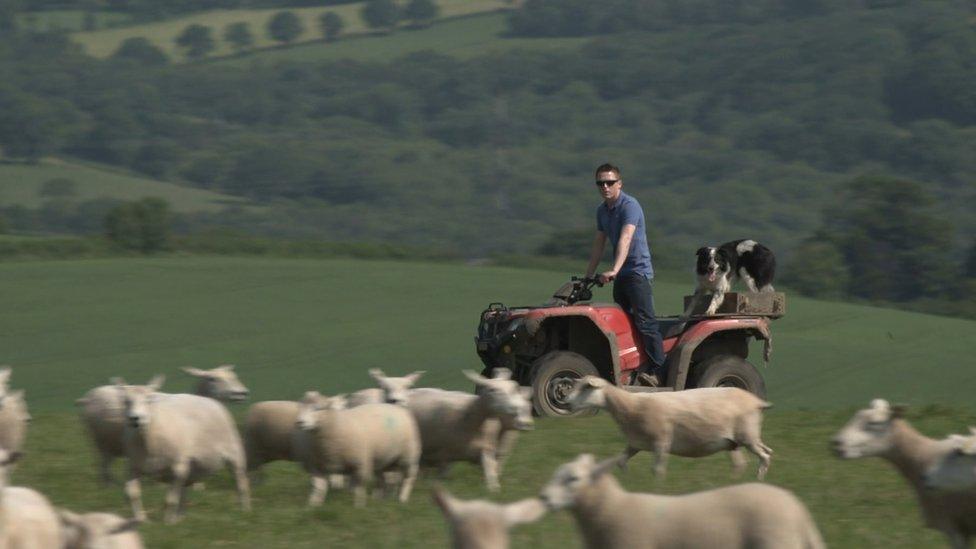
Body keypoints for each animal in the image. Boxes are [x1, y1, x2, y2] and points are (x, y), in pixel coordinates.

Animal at [117, 378, 250, 520]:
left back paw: (244, 510)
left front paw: (168, 521)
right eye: (126, 401)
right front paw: (140, 519)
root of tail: (212, 401)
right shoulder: (133, 466)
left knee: (241, 482)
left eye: (149, 399)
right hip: (191, 465)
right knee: (184, 490)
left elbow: (170, 500)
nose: (135, 418)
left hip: (234, 450)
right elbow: (132, 494)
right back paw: (180, 517)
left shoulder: (177, 467)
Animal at [408, 368, 536, 492]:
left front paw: (493, 488)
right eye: (492, 390)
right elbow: (441, 477)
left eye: (513, 389)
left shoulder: (487, 449)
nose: (526, 424)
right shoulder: (445, 454)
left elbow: (491, 472)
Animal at [564, 374, 772, 478]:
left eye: (587, 387)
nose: (566, 402)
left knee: (765, 455)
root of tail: (757, 401)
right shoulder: (636, 442)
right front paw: (627, 479)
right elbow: (621, 461)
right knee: (744, 462)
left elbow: (657, 469)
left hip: (747, 435)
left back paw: (759, 478)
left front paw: (658, 487)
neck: (629, 406)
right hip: (733, 442)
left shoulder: (661, 441)